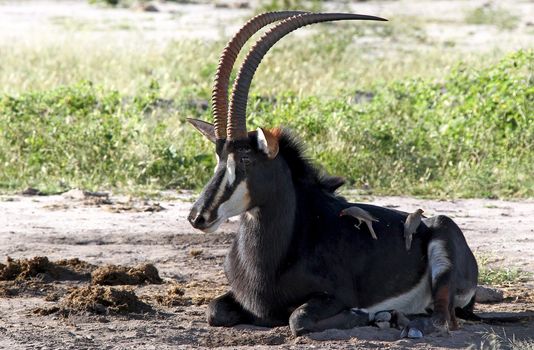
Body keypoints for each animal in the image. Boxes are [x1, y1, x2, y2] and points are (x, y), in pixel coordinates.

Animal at [187, 12, 482, 338]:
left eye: (247, 159)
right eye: (218, 157)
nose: (198, 216)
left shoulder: (335, 296)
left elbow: (298, 319)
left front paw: (361, 315)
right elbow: (214, 310)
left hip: (443, 257)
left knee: (442, 319)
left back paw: (395, 319)